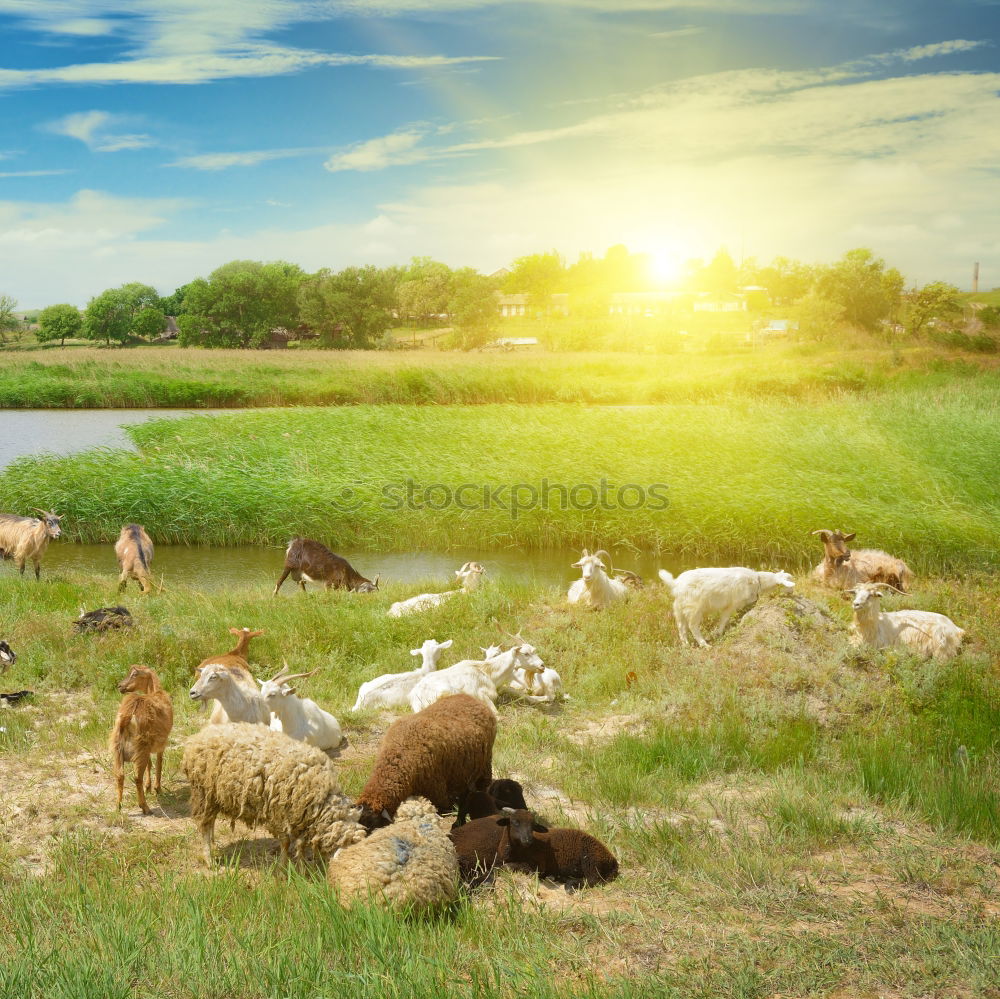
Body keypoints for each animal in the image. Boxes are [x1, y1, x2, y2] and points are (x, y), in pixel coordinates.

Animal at [109, 668, 174, 816]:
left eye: (134, 674)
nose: (120, 686)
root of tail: (127, 716)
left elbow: (150, 764)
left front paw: (148, 788)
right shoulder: (161, 743)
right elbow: (159, 763)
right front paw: (157, 789)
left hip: (118, 747)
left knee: (120, 775)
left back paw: (118, 807)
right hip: (140, 746)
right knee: (137, 777)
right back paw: (145, 807)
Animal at [182, 728, 366, 868]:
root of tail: (198, 737)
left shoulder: (301, 817)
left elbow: (300, 844)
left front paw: (302, 866)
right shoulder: (280, 814)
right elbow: (285, 842)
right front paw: (283, 867)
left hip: (214, 797)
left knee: (210, 822)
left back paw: (213, 842)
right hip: (203, 793)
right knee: (204, 825)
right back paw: (209, 859)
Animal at [656, 572, 796, 648]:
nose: (793, 592)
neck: (758, 581)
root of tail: (676, 584)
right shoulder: (731, 605)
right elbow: (724, 619)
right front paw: (718, 632)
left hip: (679, 607)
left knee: (681, 627)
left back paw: (686, 644)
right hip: (694, 608)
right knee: (692, 626)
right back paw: (704, 644)